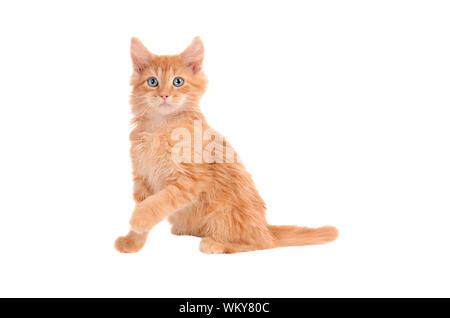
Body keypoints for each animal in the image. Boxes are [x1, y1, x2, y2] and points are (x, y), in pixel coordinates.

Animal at [114, 36, 340, 253]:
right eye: (152, 82)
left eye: (178, 81)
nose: (164, 95)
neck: (160, 126)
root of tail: (266, 227)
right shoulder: (142, 178)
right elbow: (146, 206)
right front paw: (132, 242)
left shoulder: (190, 180)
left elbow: (158, 202)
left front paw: (138, 219)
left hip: (228, 214)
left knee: (259, 244)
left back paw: (214, 244)